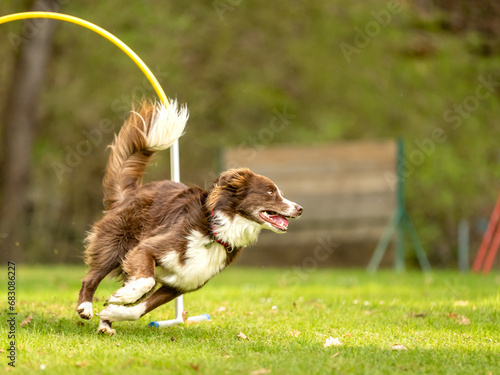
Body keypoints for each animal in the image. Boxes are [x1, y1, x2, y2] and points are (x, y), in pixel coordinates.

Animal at [76, 100, 302, 334]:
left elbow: (138, 309)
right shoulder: (147, 248)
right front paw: (122, 298)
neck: (216, 232)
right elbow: (146, 280)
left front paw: (113, 311)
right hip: (116, 245)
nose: (299, 208)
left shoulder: (180, 284)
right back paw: (86, 307)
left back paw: (106, 324)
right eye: (270, 192)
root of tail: (131, 192)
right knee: (91, 278)